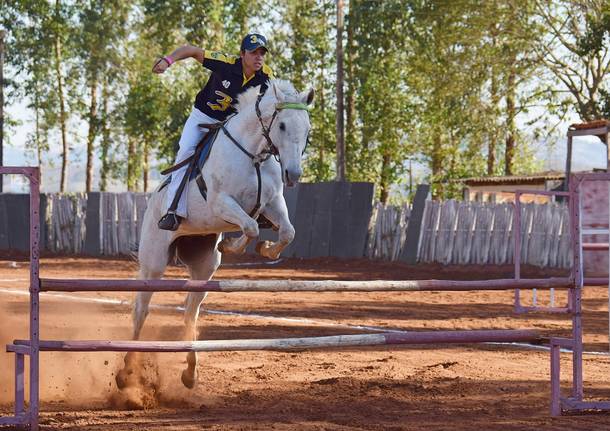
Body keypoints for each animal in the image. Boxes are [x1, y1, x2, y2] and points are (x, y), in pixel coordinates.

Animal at [116, 78, 312, 392]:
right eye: (281, 125)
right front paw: (232, 245)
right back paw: (126, 373)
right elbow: (250, 226)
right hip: (153, 262)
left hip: (204, 268)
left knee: (190, 313)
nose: (293, 174)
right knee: (141, 310)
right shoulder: (221, 203)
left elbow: (286, 232)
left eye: (307, 129)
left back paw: (190, 372)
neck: (253, 154)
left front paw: (265, 249)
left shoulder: (272, 202)